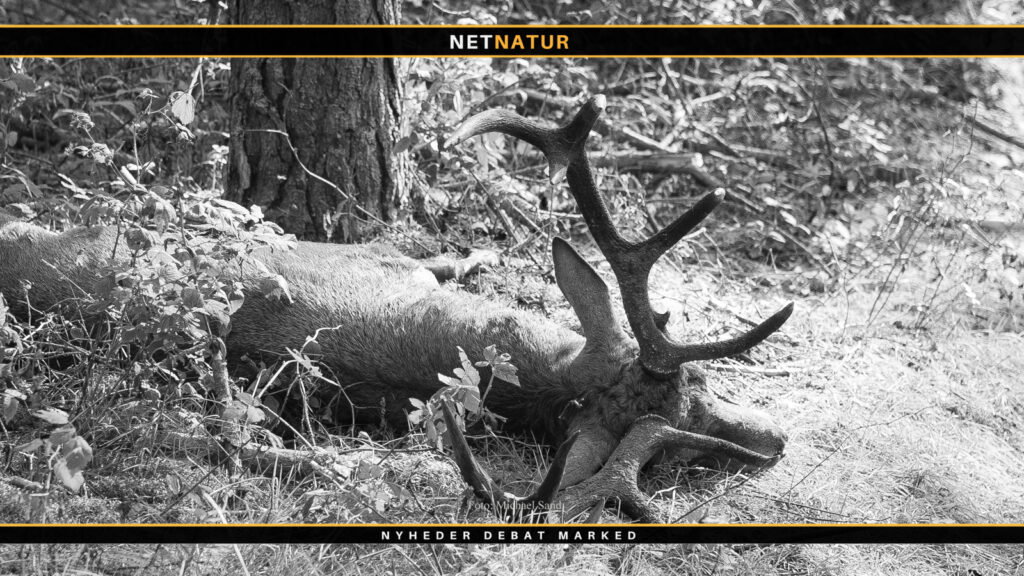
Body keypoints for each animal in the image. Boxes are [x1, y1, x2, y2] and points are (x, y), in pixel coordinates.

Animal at [0, 95, 792, 523]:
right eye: (700, 389)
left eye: (680, 441)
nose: (776, 438)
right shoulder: (376, 258)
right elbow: (435, 255)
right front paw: (478, 252)